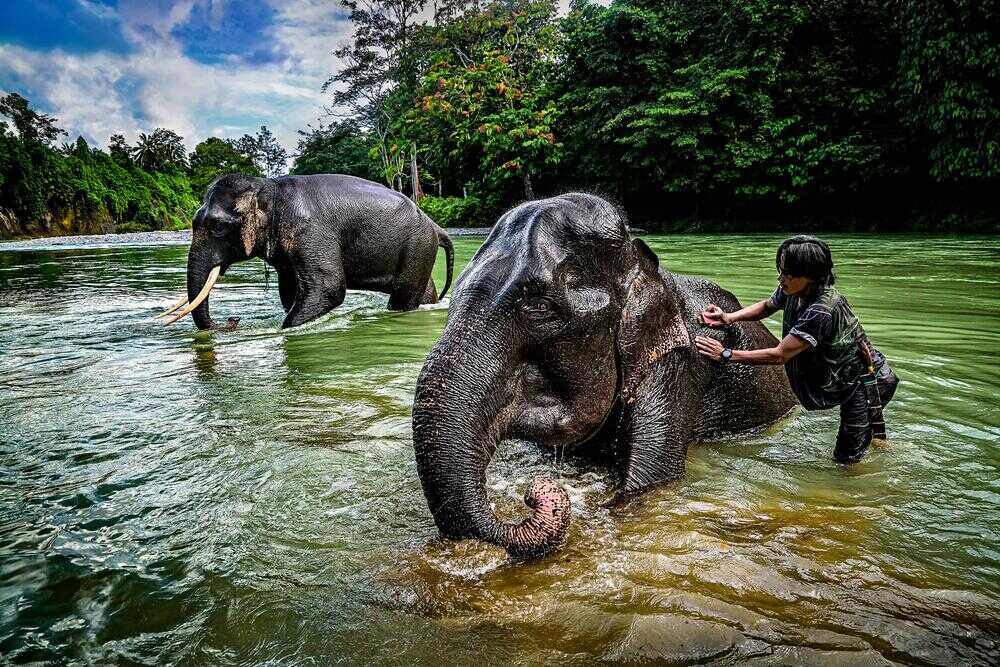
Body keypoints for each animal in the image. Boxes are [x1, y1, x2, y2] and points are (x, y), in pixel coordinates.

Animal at [159, 172, 454, 328]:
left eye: (218, 227)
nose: (233, 320)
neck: (269, 188)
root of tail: (435, 226)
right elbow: (289, 291)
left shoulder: (309, 232)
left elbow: (329, 288)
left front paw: (286, 327)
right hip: (420, 252)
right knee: (423, 292)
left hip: (417, 247)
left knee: (403, 296)